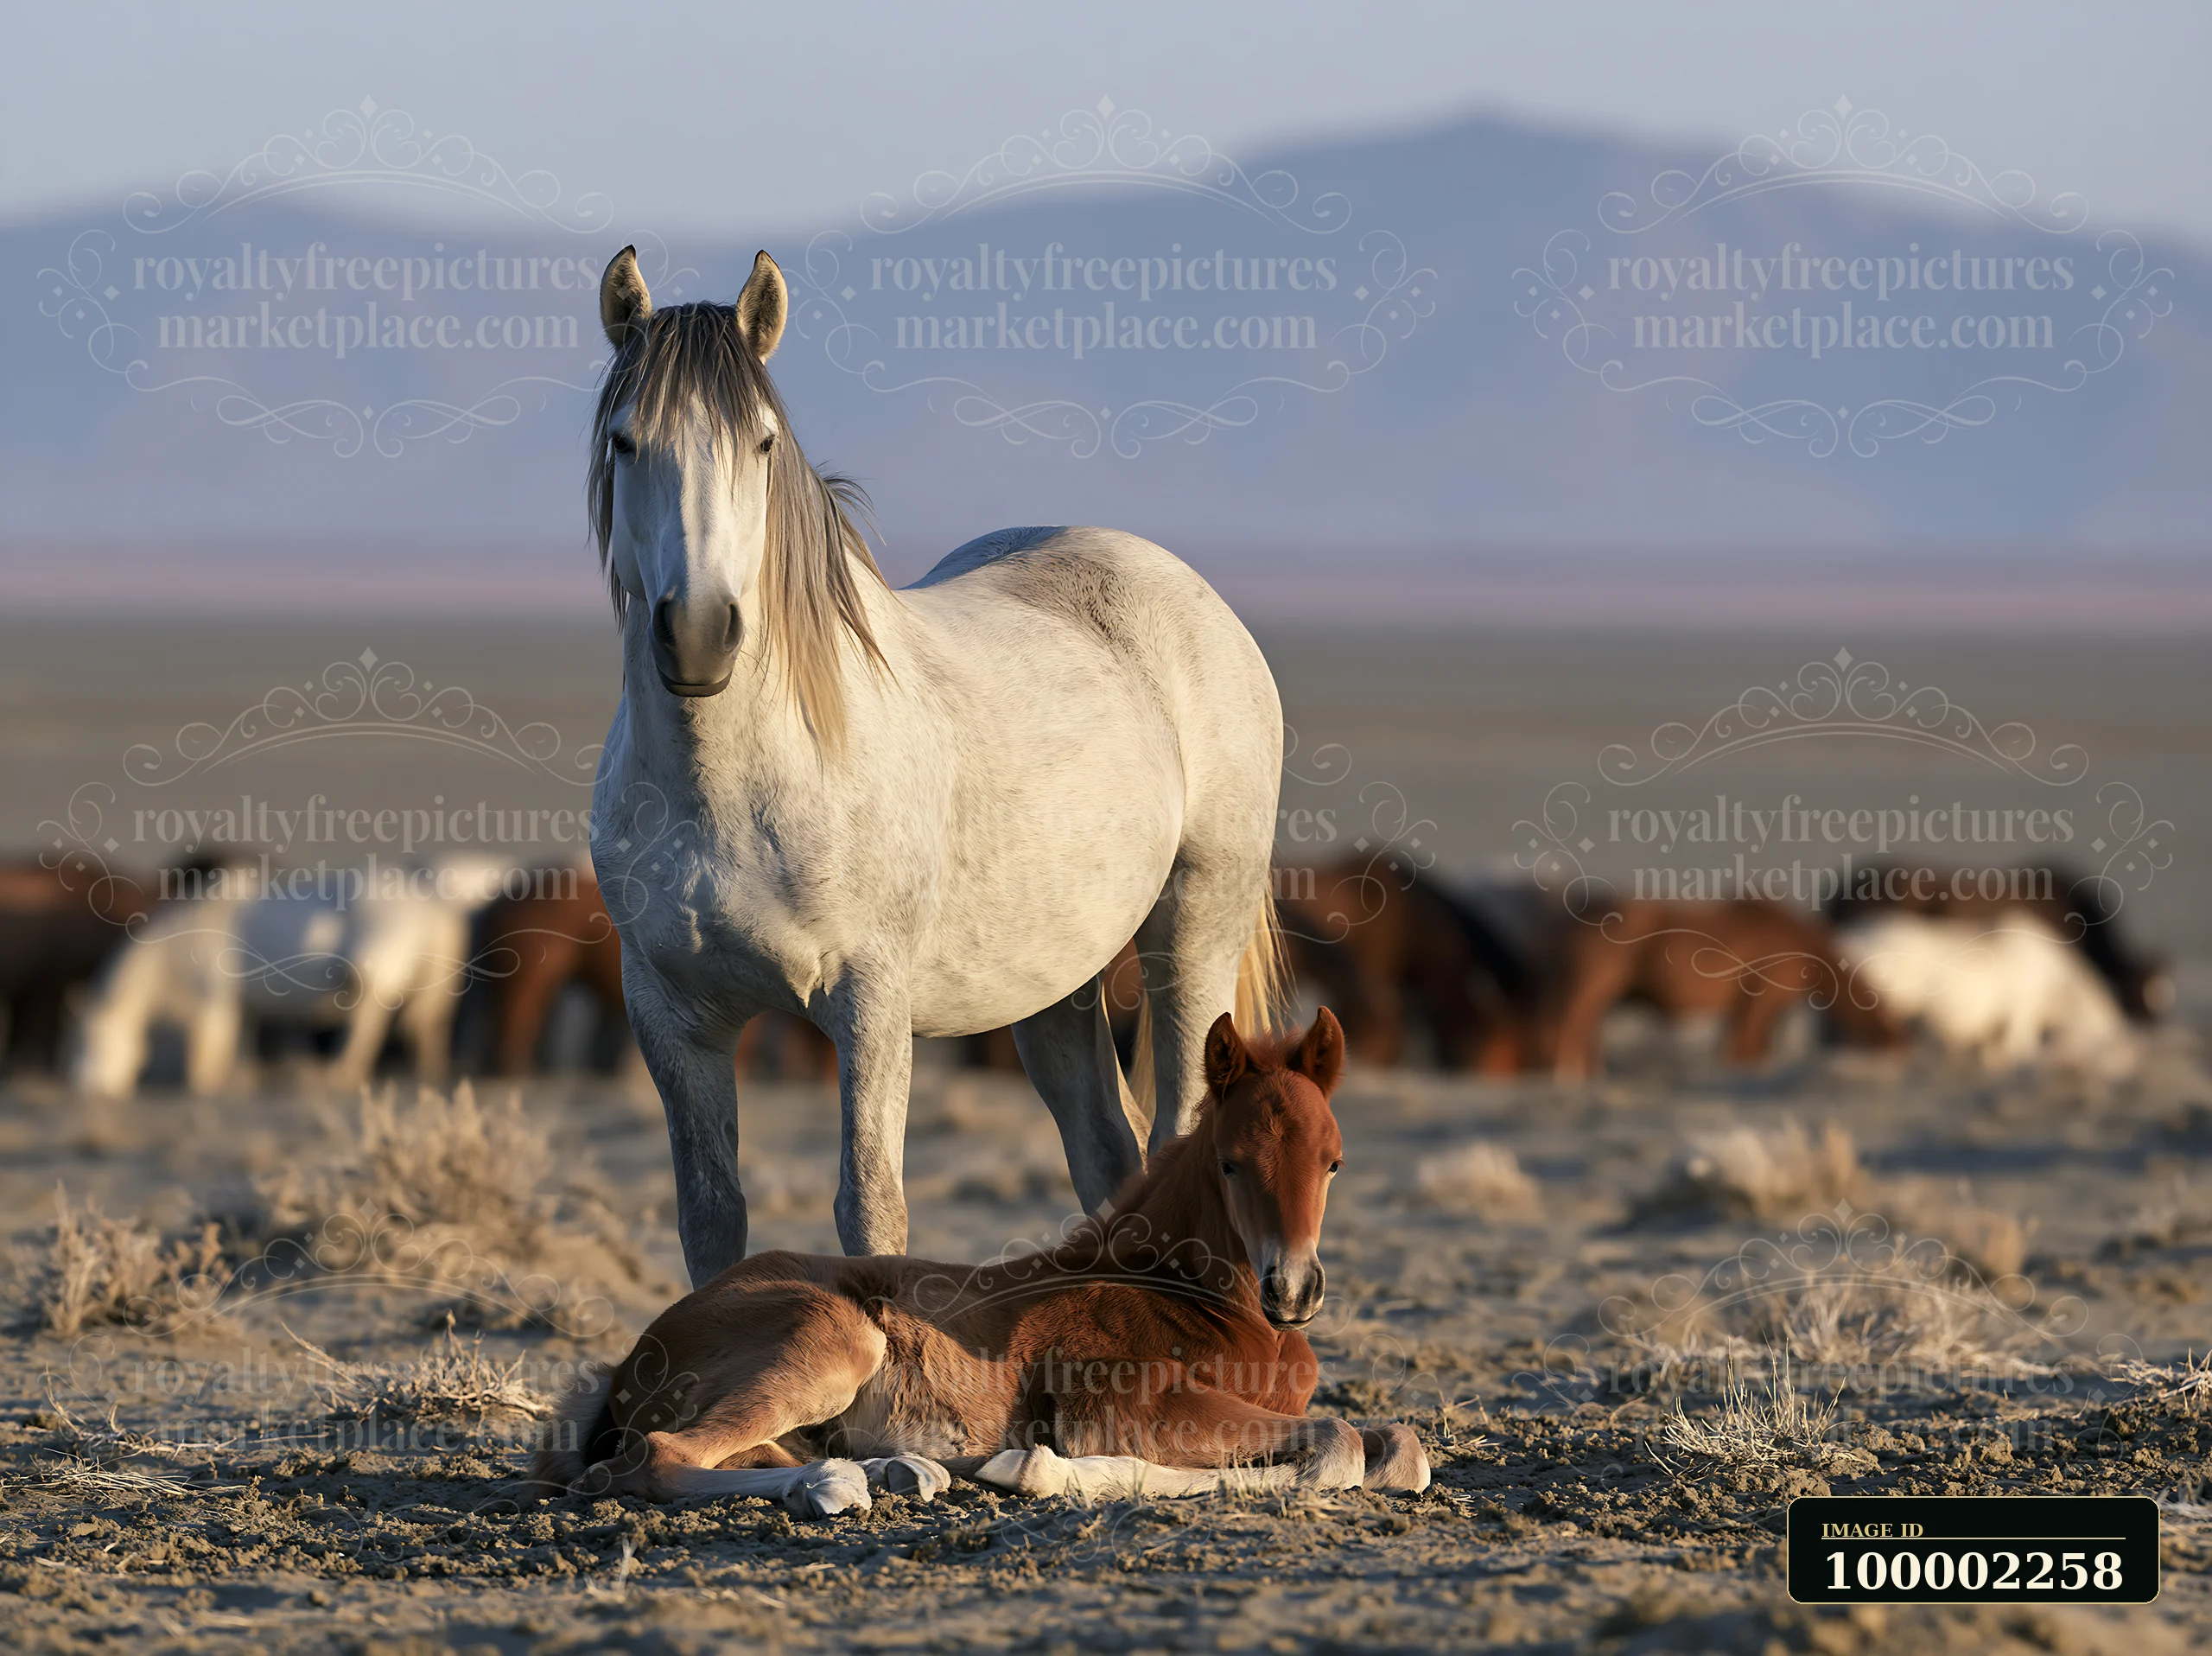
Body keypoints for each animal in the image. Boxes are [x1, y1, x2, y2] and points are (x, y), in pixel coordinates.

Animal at [529, 1008, 1428, 1515]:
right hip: (836, 1342)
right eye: (1232, 1163)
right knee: (659, 1457)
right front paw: (1040, 1469)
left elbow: (1402, 1449)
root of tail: (635, 1356)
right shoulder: (1127, 1405)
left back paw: (901, 1470)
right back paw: (838, 1487)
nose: (1294, 1289)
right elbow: (1338, 1446)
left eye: (1334, 1162)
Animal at [584, 247, 1285, 1284]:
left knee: (1177, 1135)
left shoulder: (869, 1003)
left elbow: (869, 1209)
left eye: (762, 443)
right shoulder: (674, 1018)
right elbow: (711, 1222)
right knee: (1108, 1151)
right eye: (627, 441)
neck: (732, 790)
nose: (701, 632)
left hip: (1195, 927)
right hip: (1057, 984)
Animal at [1537, 898, 1900, 1080]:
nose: (1901, 1053)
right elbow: (1742, 1048)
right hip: (1594, 987)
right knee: (1570, 1029)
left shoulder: (1759, 1007)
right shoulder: (1761, 999)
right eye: (1886, 1034)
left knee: (1584, 1032)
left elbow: (1750, 1048)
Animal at [1835, 910, 2137, 1076]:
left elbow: (1991, 1059)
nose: (2126, 1072)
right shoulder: (2022, 1015)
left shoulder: (1994, 1029)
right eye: (2113, 1050)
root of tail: (1851, 933)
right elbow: (2020, 1052)